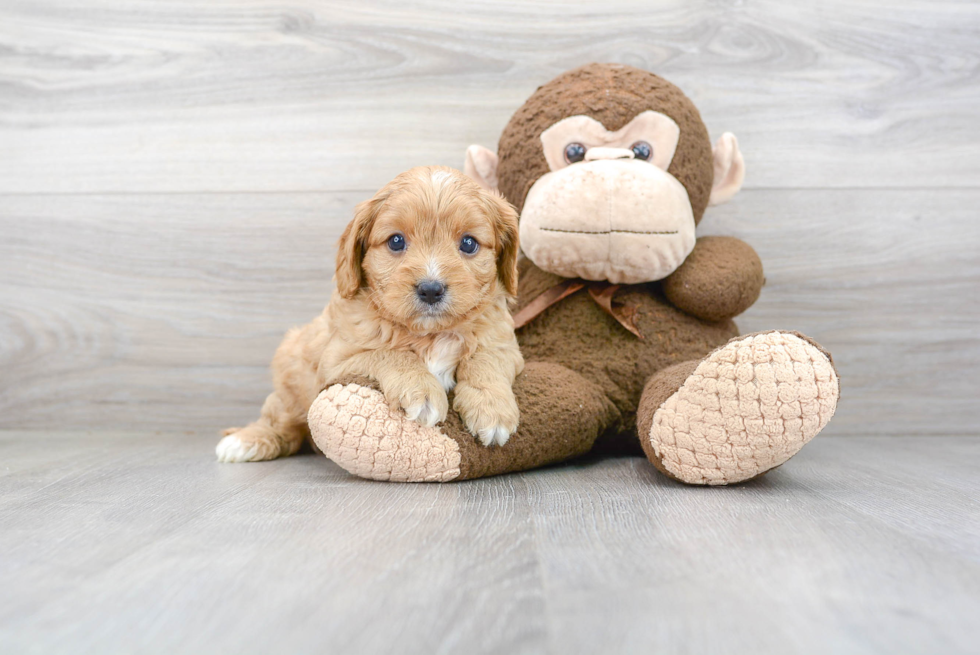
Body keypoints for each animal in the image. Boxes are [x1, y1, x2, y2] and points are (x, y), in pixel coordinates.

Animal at [214, 167, 520, 464]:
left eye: (468, 243)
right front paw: (421, 390)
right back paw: (243, 442)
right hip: (290, 380)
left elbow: (486, 359)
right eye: (396, 241)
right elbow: (389, 353)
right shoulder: (336, 361)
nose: (431, 289)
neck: (430, 334)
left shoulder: (505, 344)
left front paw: (492, 409)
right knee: (279, 423)